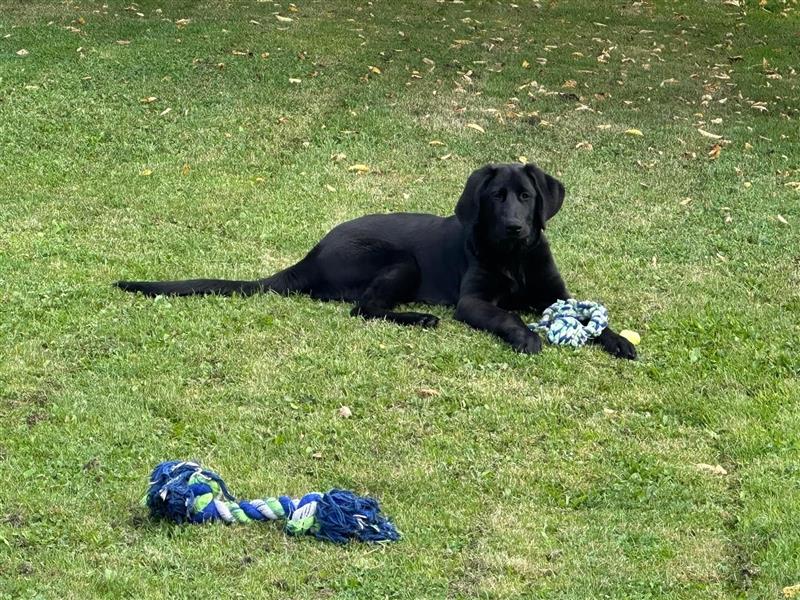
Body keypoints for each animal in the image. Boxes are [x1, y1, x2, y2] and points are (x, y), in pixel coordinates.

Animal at [115, 164, 636, 358]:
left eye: (526, 197)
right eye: (495, 199)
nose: (514, 227)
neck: (514, 260)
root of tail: (312, 254)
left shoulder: (555, 294)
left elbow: (592, 318)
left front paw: (617, 341)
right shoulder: (472, 302)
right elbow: (505, 315)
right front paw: (526, 336)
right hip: (401, 262)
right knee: (363, 308)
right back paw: (420, 318)